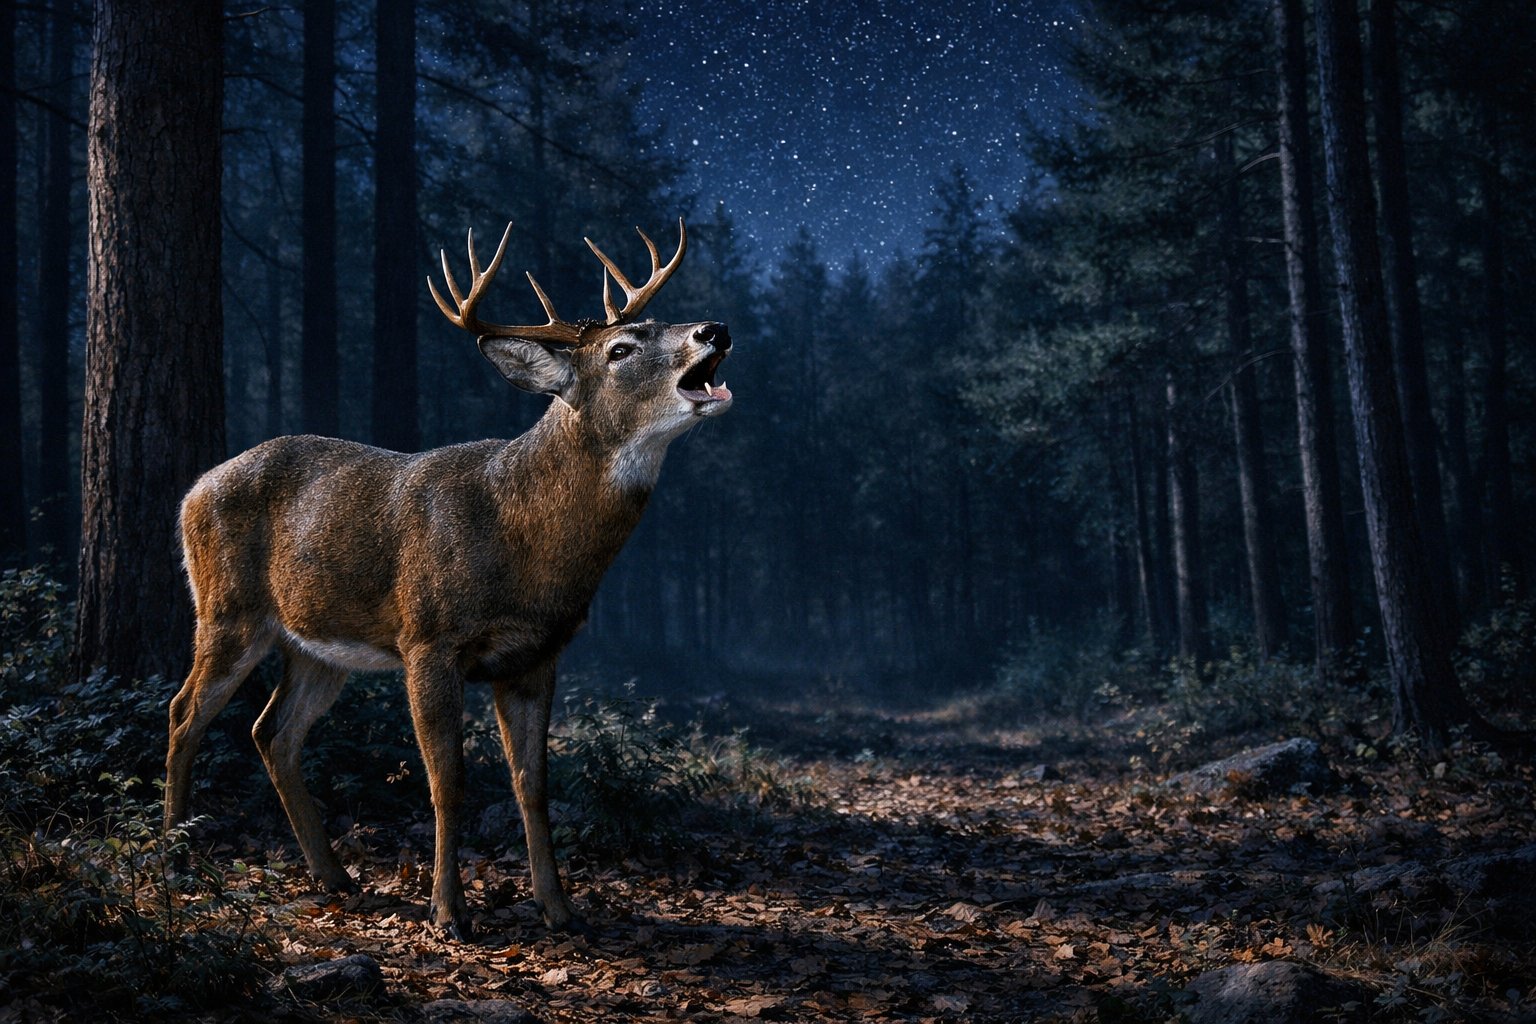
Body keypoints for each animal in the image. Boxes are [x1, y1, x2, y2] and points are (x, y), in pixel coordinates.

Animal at [162, 219, 731, 940]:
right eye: (622, 348)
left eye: (661, 320)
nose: (715, 328)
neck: (525, 537)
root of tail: (191, 493)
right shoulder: (428, 638)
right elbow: (447, 780)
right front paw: (449, 911)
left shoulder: (537, 656)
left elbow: (532, 783)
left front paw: (559, 908)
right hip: (228, 608)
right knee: (185, 712)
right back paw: (176, 857)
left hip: (318, 646)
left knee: (273, 732)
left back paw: (333, 875)